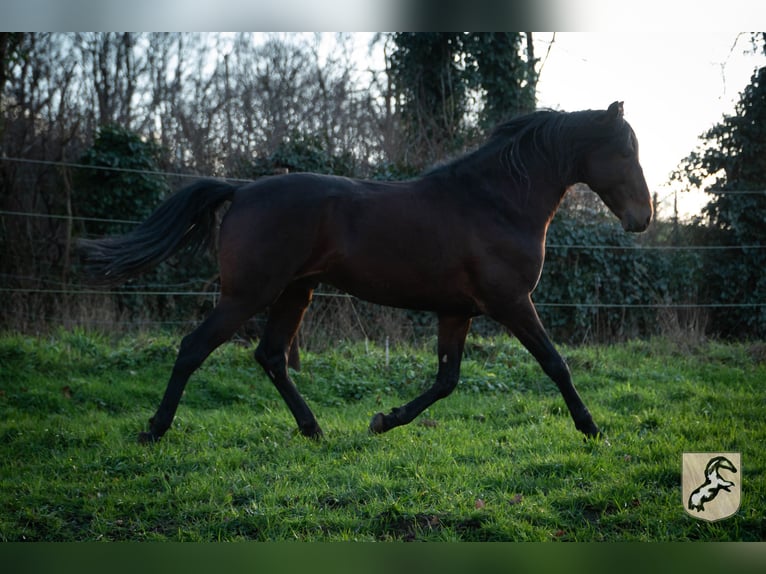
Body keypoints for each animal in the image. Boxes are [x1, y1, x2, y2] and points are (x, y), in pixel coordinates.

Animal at [79, 102, 656, 446]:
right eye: (625, 150)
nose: (643, 218)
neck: (495, 201)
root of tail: (240, 190)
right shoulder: (511, 303)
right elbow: (556, 364)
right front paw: (591, 428)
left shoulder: (457, 312)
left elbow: (446, 381)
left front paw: (384, 420)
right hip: (249, 294)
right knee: (194, 348)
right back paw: (154, 430)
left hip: (296, 292)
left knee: (270, 356)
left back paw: (313, 429)